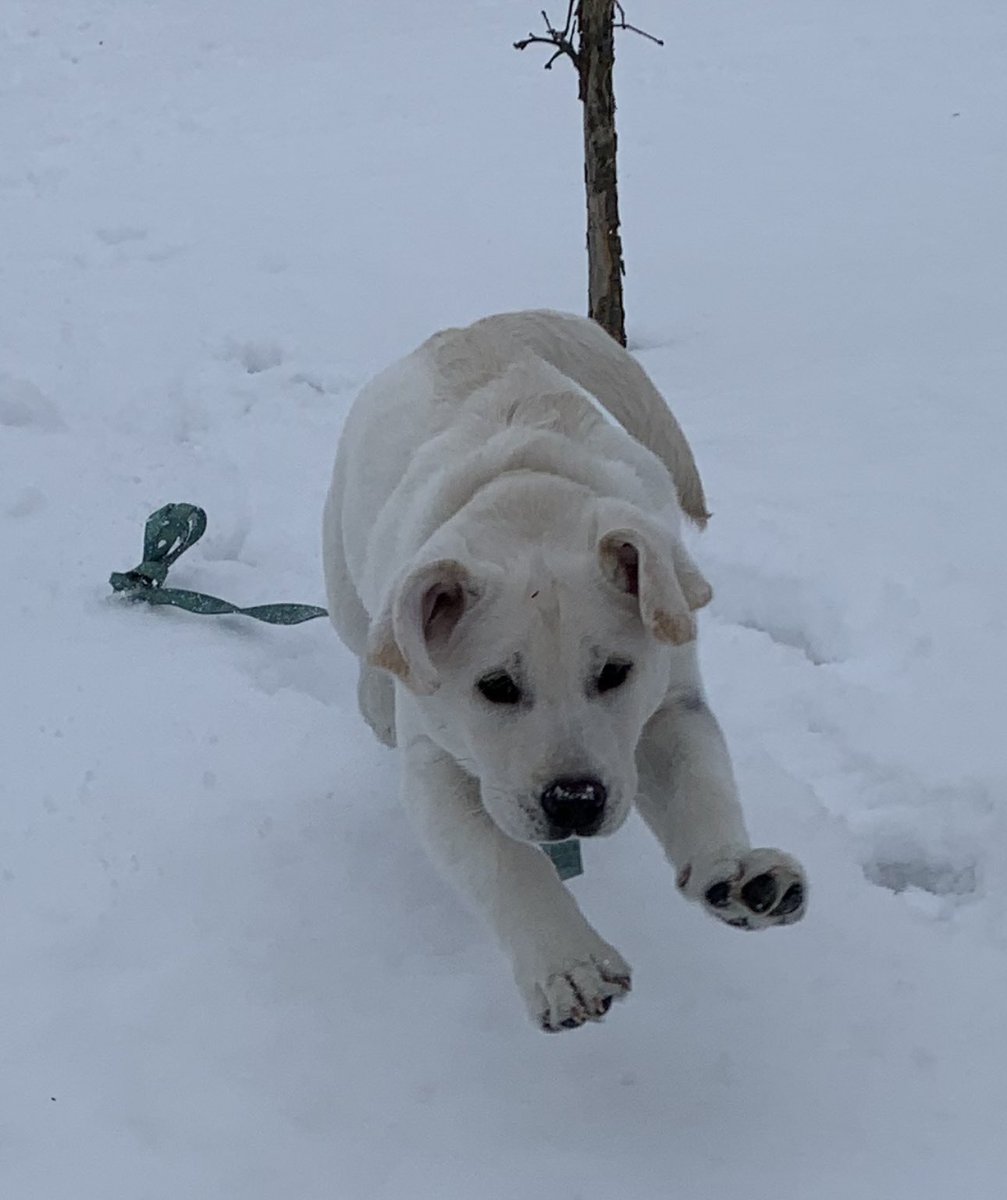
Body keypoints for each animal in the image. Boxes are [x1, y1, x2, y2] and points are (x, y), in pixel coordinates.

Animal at [324, 309, 811, 1032]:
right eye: (495, 687)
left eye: (614, 672)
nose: (575, 802)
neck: (529, 505)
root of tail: (470, 327)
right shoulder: (436, 765)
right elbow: (504, 862)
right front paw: (568, 965)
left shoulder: (668, 701)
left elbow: (700, 783)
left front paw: (736, 873)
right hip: (344, 578)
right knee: (369, 642)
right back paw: (374, 688)